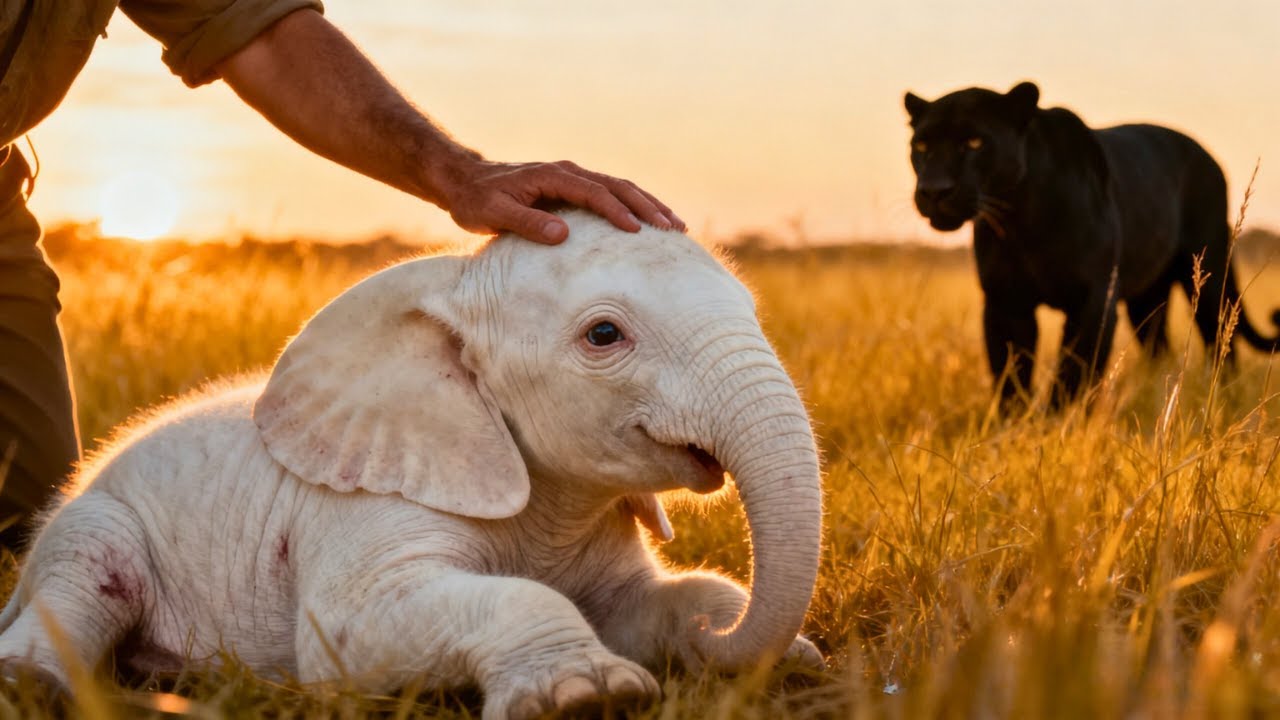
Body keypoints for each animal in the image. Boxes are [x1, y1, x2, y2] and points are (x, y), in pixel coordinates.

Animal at [0, 210, 825, 719]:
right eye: (603, 336)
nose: (723, 646)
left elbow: (652, 601)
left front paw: (781, 655)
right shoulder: (363, 505)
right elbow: (347, 631)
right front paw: (590, 697)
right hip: (95, 524)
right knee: (88, 573)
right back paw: (32, 684)